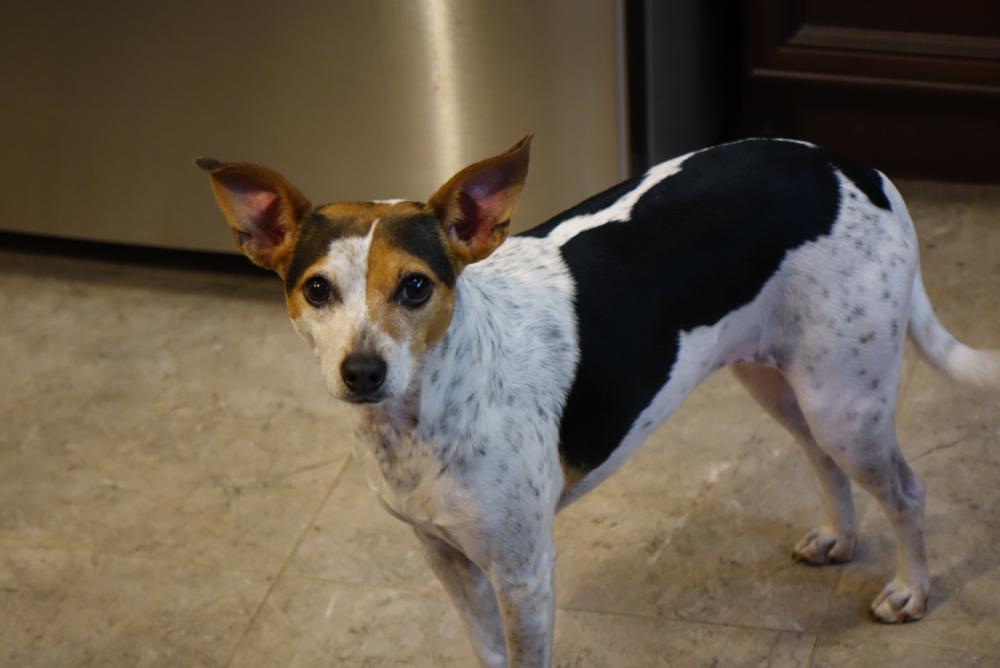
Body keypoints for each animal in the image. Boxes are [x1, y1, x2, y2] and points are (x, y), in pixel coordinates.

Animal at [197, 136, 999, 667]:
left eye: (416, 287)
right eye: (317, 289)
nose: (362, 371)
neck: (427, 413)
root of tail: (853, 165)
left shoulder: (524, 573)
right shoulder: (446, 559)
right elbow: (485, 653)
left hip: (844, 402)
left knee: (908, 491)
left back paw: (910, 590)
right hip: (781, 380)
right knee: (822, 461)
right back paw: (839, 537)